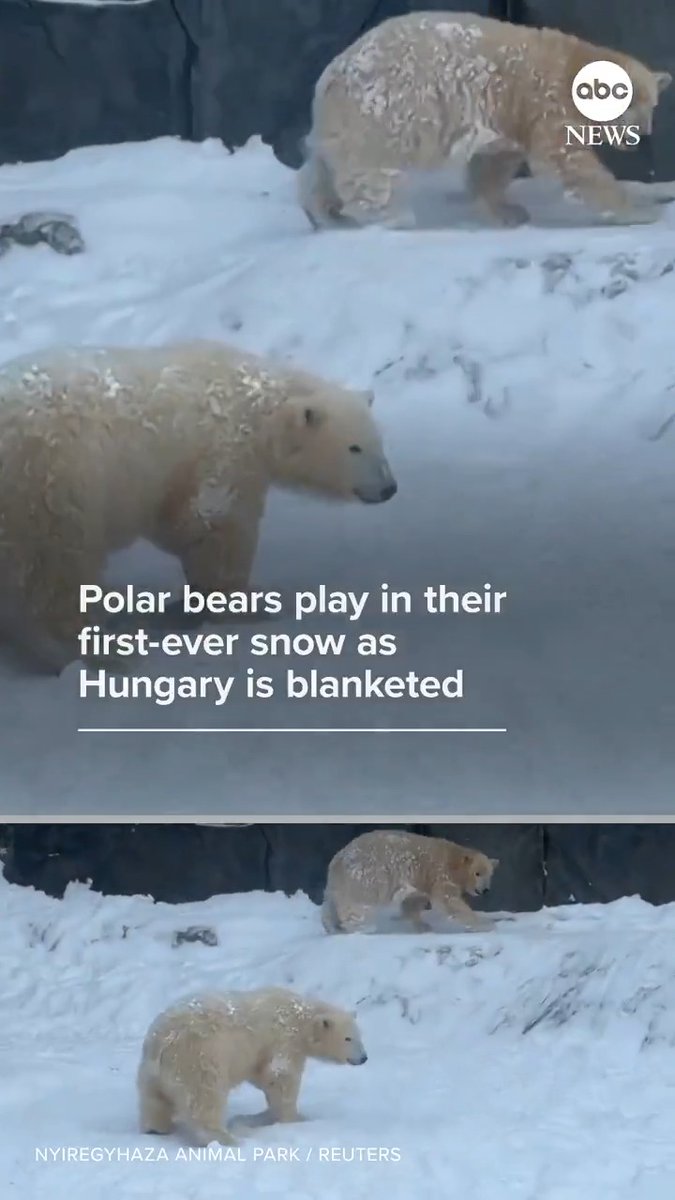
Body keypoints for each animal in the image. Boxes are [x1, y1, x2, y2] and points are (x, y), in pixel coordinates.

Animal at [0, 340, 396, 673]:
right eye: (354, 448)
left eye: (379, 443)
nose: (389, 488)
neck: (255, 403)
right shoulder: (222, 450)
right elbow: (215, 526)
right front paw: (249, 607)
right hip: (56, 478)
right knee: (58, 565)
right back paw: (100, 653)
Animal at [136, 987, 367, 1146]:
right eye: (348, 1038)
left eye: (359, 1036)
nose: (363, 1058)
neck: (300, 1015)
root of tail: (161, 1042)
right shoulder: (284, 1038)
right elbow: (281, 1075)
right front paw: (295, 1117)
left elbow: (263, 1076)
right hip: (199, 1056)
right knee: (204, 1096)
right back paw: (225, 1138)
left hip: (151, 1072)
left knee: (154, 1100)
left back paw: (156, 1128)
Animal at [298, 10, 672, 231]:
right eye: (627, 103)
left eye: (652, 105)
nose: (639, 137)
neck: (573, 64)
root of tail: (329, 76)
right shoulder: (547, 101)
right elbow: (568, 161)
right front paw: (640, 211)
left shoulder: (509, 113)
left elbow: (493, 164)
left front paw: (508, 211)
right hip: (382, 112)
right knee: (367, 171)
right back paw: (392, 215)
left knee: (322, 165)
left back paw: (323, 213)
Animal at [321, 829, 499, 933]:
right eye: (477, 873)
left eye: (490, 874)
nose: (485, 890)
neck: (453, 861)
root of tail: (339, 858)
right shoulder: (440, 873)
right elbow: (448, 900)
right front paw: (486, 925)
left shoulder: (421, 880)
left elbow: (413, 900)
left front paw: (422, 926)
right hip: (370, 874)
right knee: (360, 902)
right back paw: (359, 926)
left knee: (332, 901)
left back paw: (332, 927)